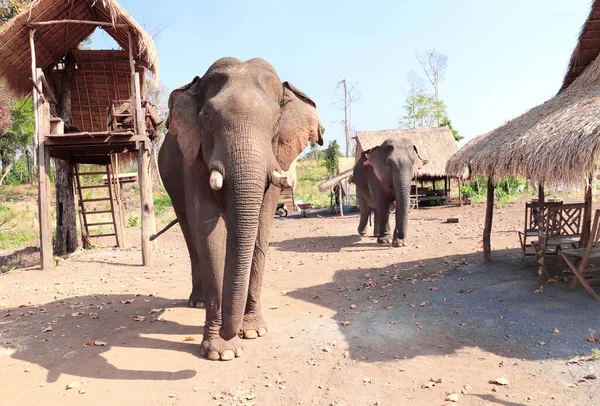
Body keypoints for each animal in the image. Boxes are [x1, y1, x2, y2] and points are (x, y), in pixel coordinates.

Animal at [157, 55, 322, 360]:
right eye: (207, 118)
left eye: (277, 122)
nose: (228, 332)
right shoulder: (193, 160)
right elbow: (210, 233)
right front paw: (222, 352)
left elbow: (261, 228)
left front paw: (254, 332)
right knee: (190, 233)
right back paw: (197, 302)